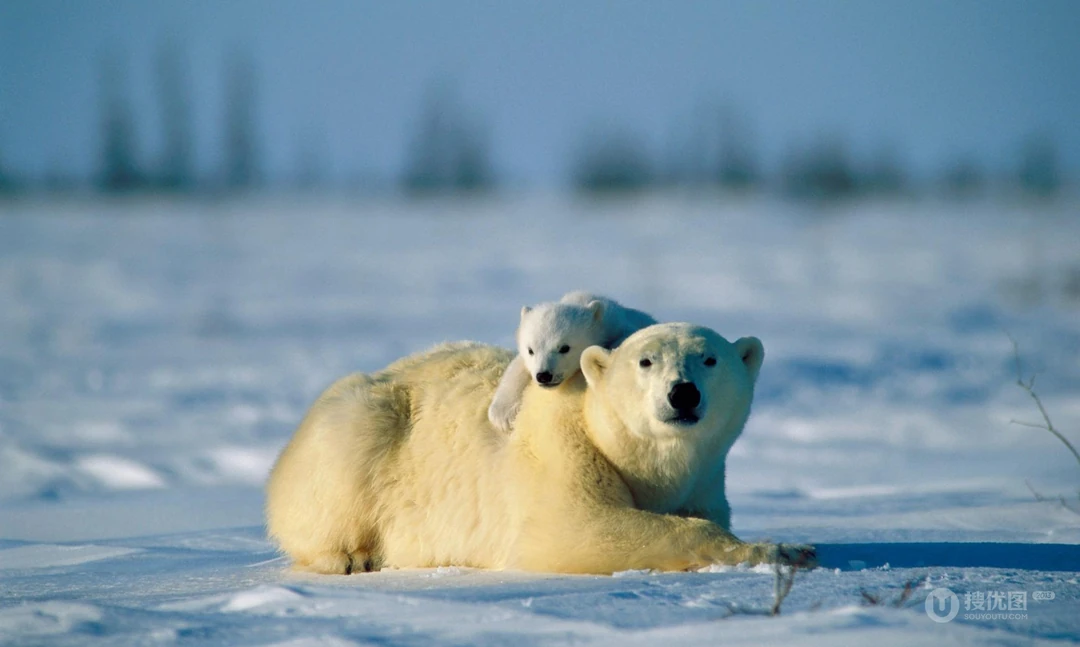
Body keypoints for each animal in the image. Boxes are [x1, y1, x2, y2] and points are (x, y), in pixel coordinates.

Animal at [265, 323, 815, 575]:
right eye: (646, 361)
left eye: (710, 358)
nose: (683, 393)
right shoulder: (561, 449)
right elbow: (578, 527)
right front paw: (786, 548)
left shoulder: (704, 478)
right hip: (362, 424)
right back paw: (350, 556)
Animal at [487, 291, 657, 433]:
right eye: (530, 350)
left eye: (564, 348)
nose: (544, 376)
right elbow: (517, 366)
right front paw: (503, 415)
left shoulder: (620, 325)